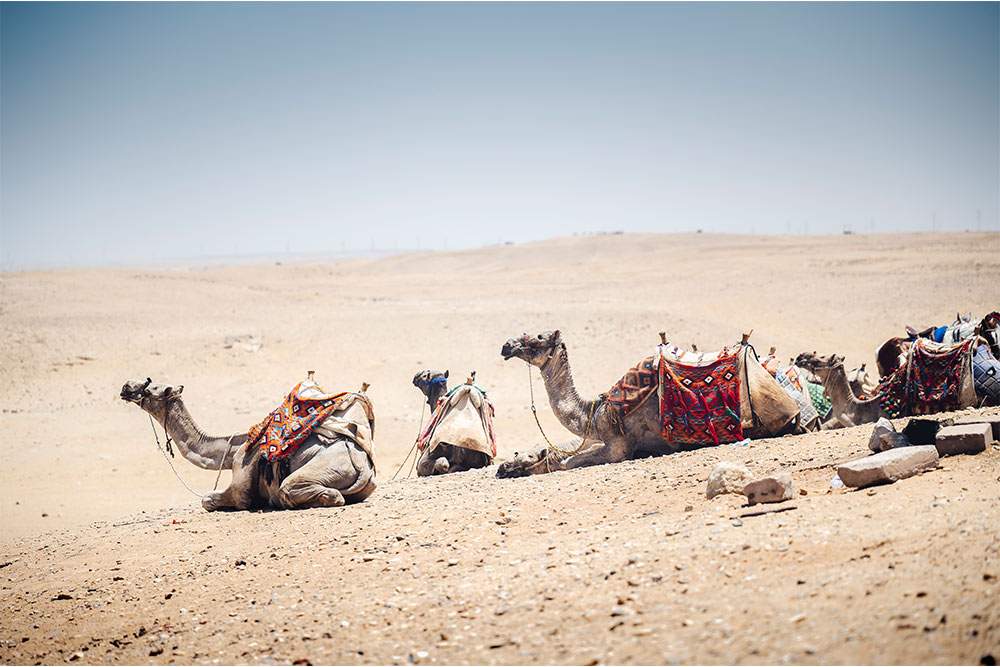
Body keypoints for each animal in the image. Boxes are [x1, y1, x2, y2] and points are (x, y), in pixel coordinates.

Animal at [120, 376, 376, 512]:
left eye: (150, 388)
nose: (126, 387)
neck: (232, 449)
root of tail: (364, 465)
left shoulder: (241, 485)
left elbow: (208, 499)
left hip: (324, 469)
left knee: (304, 492)